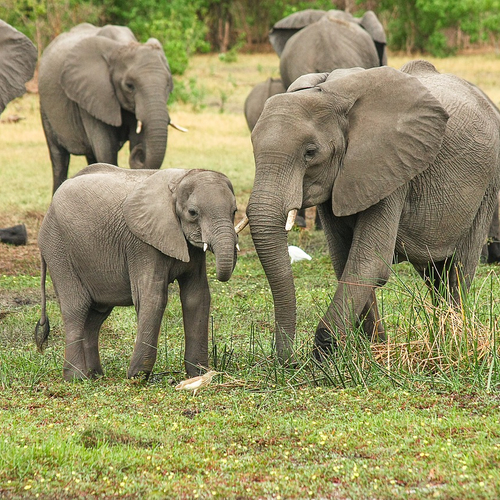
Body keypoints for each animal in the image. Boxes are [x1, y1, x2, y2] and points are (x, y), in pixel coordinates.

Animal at [35, 164, 240, 378]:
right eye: (193, 213)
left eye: (234, 211)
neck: (180, 180)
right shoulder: (142, 244)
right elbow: (153, 297)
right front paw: (137, 377)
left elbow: (197, 297)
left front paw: (199, 374)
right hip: (58, 248)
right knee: (76, 308)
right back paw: (77, 378)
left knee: (96, 315)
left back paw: (95, 375)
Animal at [39, 24, 179, 194]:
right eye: (129, 86)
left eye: (168, 84)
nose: (140, 152)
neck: (123, 45)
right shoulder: (92, 95)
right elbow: (105, 149)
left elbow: (136, 139)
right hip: (45, 107)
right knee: (59, 158)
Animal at [244, 60, 500, 362]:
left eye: (310, 152)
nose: (289, 362)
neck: (331, 96)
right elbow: (344, 259)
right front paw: (373, 350)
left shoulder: (391, 168)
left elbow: (368, 262)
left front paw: (325, 354)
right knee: (434, 274)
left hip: (487, 184)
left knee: (458, 269)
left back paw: (453, 341)